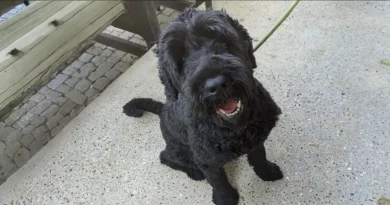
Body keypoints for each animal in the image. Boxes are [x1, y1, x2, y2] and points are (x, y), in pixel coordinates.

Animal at [123, 8, 282, 205]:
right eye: (181, 57)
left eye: (221, 40)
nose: (216, 84)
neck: (234, 128)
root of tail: (163, 109)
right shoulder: (207, 161)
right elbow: (218, 181)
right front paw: (225, 198)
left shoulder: (256, 138)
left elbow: (259, 157)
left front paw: (266, 172)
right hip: (179, 150)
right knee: (166, 157)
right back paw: (193, 171)